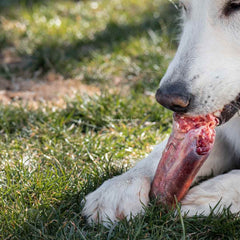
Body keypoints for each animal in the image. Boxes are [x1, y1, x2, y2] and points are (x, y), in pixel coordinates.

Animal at [83, 0, 240, 225]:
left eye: (235, 5)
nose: (168, 99)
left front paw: (210, 197)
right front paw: (120, 186)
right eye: (183, 7)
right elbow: (159, 155)